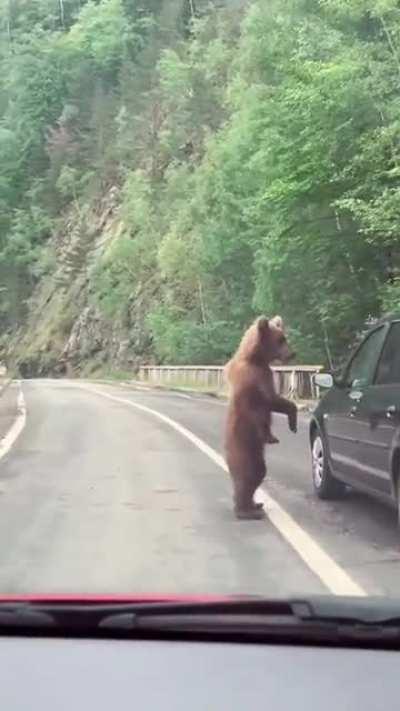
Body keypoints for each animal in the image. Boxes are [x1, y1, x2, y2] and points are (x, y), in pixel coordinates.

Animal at [224, 315, 297, 520]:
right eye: (280, 340)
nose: (293, 353)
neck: (254, 358)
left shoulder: (264, 372)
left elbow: (276, 402)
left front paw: (292, 423)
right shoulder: (254, 379)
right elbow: (268, 402)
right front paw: (272, 435)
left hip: (255, 453)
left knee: (258, 474)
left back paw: (255, 504)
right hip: (244, 449)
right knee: (248, 475)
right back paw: (246, 511)